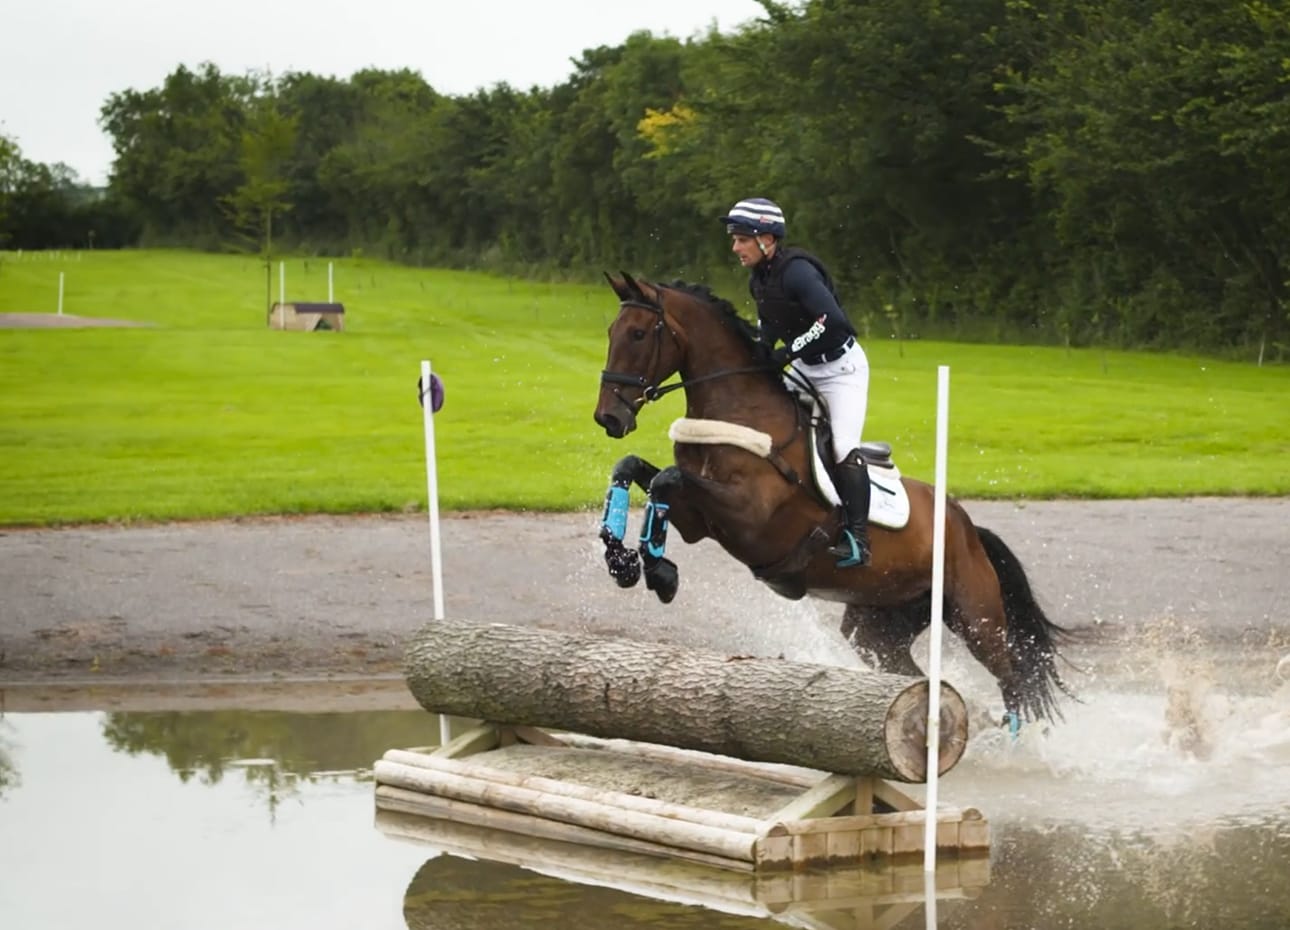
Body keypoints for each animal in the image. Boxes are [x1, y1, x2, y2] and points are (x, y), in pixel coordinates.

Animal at [590, 272, 1073, 727]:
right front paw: (626, 563)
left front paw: (658, 572)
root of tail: (968, 525)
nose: (608, 418)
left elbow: (665, 480)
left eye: (638, 334)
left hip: (975, 616)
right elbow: (636, 470)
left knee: (1011, 677)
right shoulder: (699, 519)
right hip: (877, 628)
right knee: (916, 674)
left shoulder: (748, 515)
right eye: (611, 330)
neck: (739, 410)